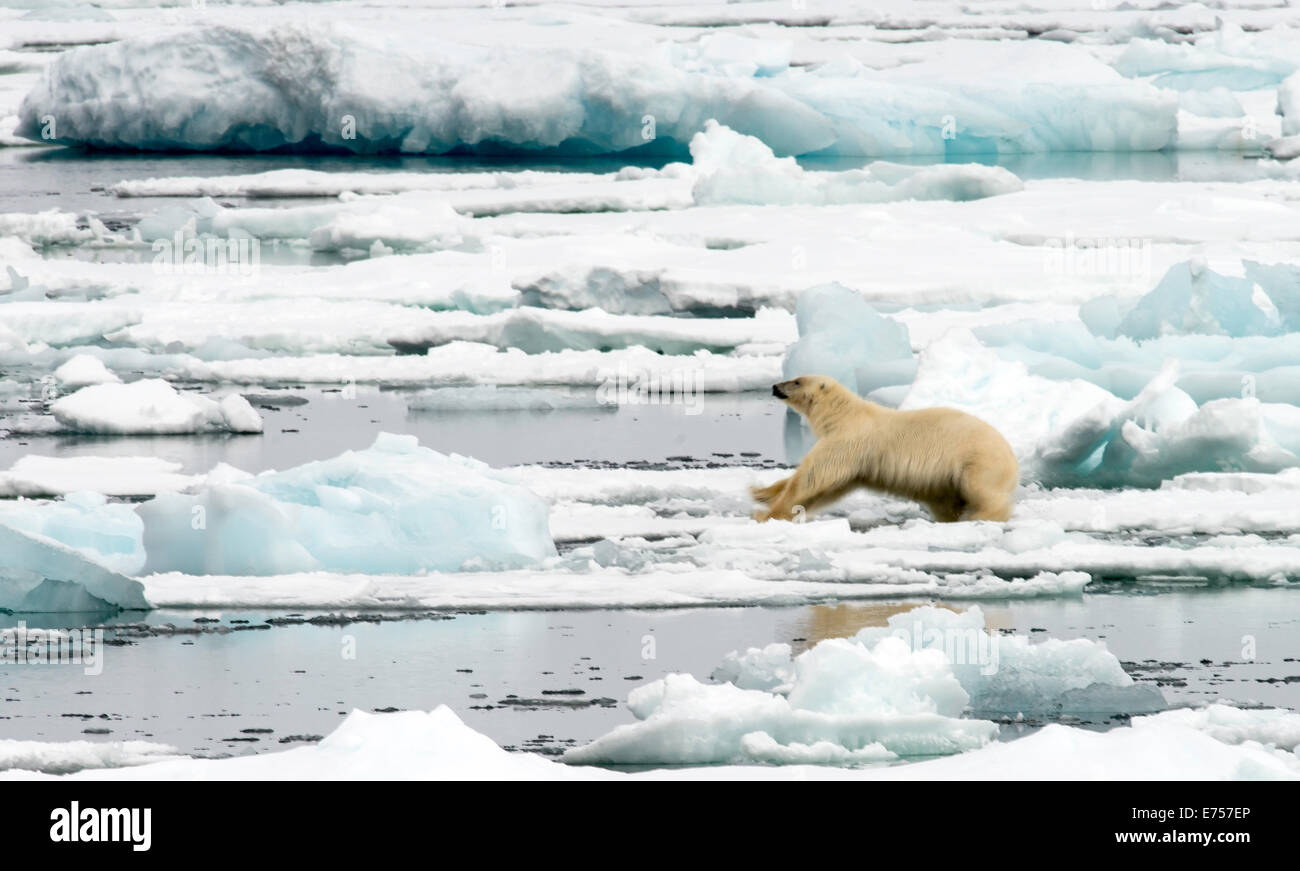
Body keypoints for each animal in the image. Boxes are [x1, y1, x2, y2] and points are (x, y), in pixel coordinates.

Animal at [759, 377, 1019, 525]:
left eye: (796, 381)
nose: (774, 387)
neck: (843, 414)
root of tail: (1012, 458)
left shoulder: (847, 441)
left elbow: (814, 476)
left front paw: (767, 513)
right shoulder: (857, 460)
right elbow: (829, 487)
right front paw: (762, 492)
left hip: (978, 461)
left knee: (981, 490)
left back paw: (981, 516)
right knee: (946, 500)